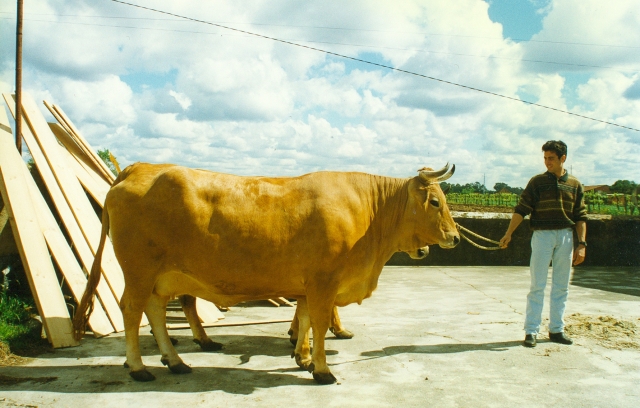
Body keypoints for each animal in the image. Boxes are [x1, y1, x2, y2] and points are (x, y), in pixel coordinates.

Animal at [75, 162, 458, 382]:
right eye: (435, 201)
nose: (455, 237)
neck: (369, 212)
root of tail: (141, 169)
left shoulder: (308, 284)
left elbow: (305, 320)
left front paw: (303, 358)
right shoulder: (324, 283)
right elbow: (319, 324)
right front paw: (321, 369)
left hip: (161, 278)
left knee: (155, 312)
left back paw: (175, 361)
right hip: (140, 272)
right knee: (132, 311)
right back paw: (139, 367)